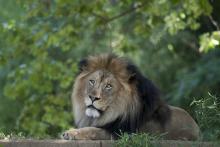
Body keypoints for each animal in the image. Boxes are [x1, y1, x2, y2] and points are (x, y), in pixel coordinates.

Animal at [61, 53, 199, 140]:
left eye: (108, 86)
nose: (93, 98)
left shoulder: (122, 134)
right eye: (92, 81)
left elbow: (93, 130)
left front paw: (70, 133)